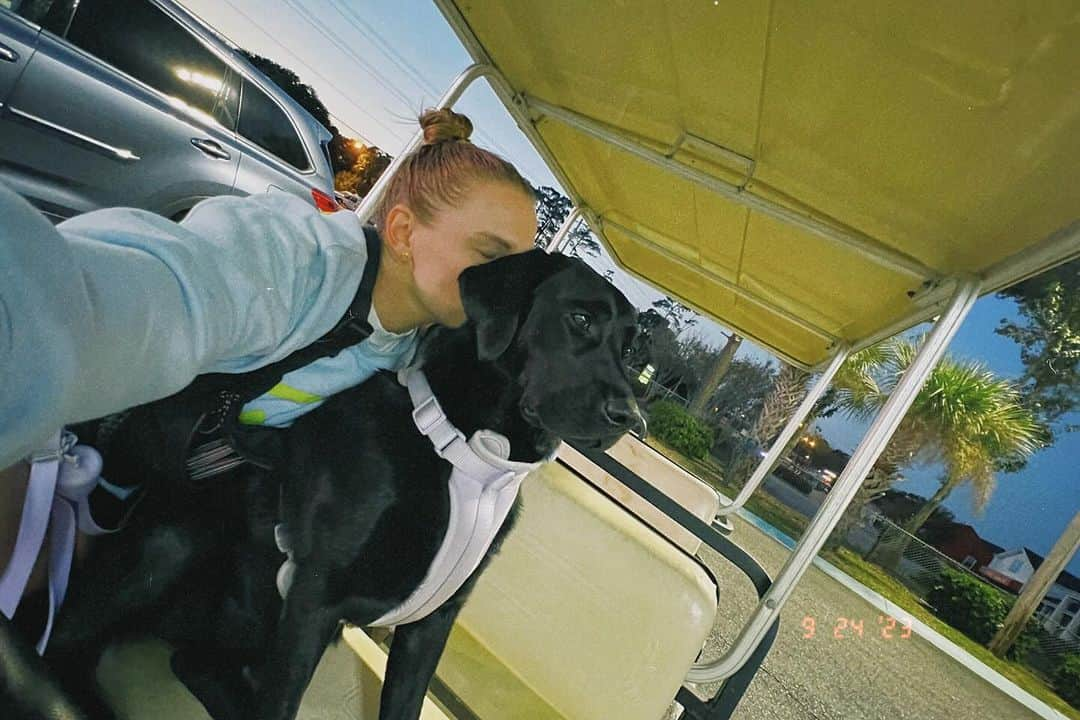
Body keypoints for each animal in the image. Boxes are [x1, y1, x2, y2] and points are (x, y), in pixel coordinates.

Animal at [38, 249, 643, 720]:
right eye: (580, 319)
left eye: (631, 350)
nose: (631, 420)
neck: (464, 453)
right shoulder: (315, 597)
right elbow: (281, 704)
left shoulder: (431, 622)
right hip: (176, 541)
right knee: (67, 642)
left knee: (192, 662)